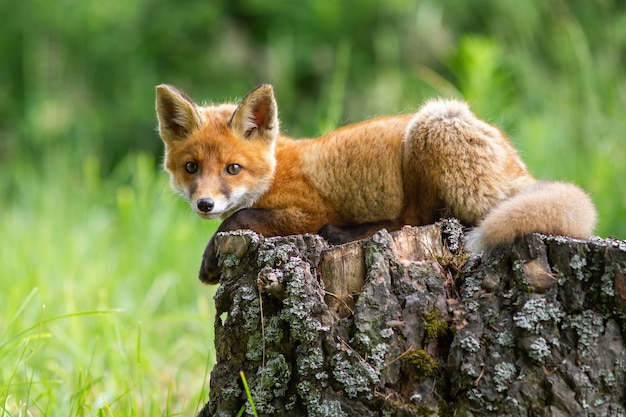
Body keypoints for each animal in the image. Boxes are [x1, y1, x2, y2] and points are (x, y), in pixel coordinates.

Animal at [154, 83, 592, 284]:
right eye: (191, 167)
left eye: (232, 169)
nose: (204, 204)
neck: (276, 167)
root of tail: (521, 171)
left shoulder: (308, 210)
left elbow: (240, 218)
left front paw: (210, 258)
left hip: (431, 125)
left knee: (413, 219)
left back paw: (347, 233)